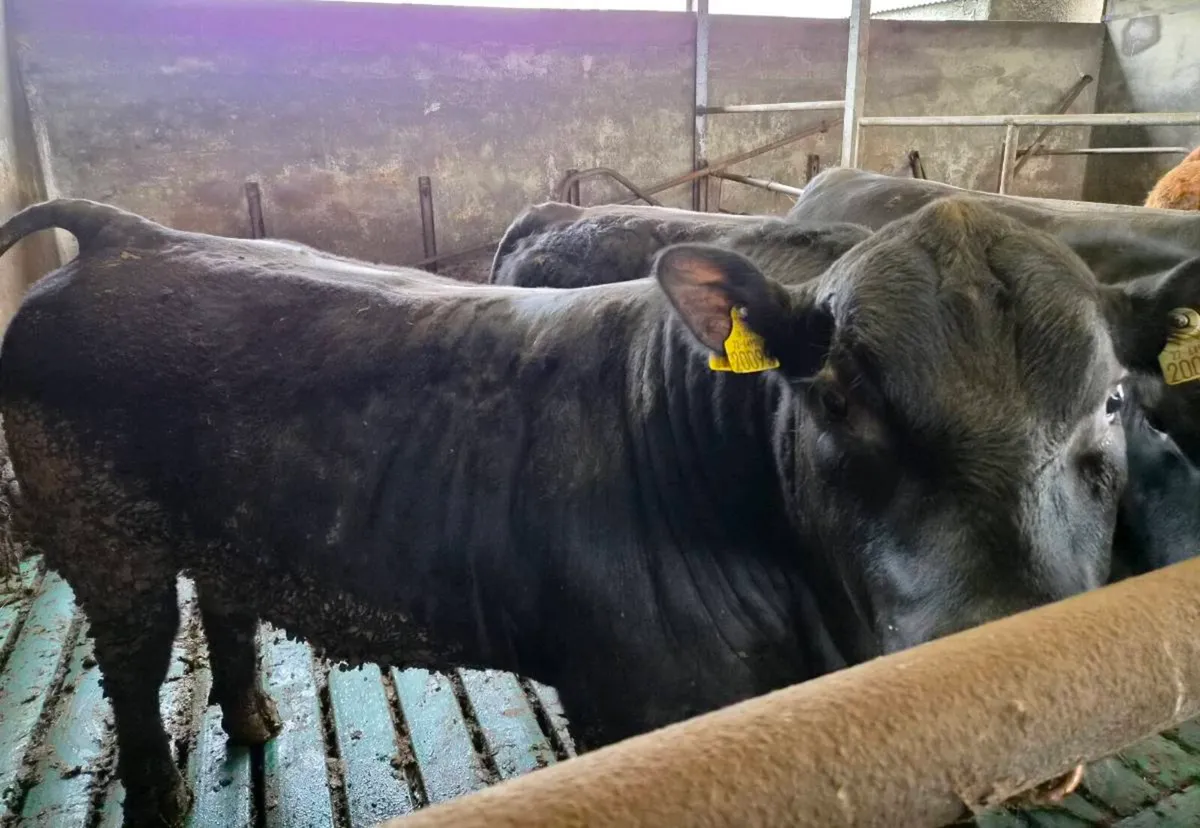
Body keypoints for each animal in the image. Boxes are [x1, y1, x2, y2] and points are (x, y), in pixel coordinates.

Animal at [0, 195, 1186, 826]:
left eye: (1113, 401)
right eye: (838, 393)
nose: (1006, 655)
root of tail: (128, 232)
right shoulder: (634, 698)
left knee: (229, 606)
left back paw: (253, 718)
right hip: (105, 542)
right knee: (135, 662)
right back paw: (160, 796)